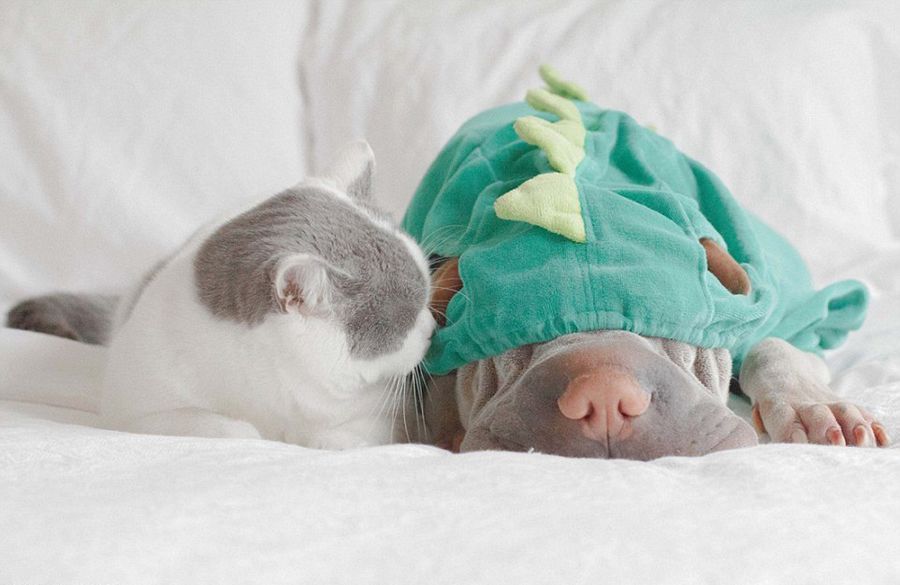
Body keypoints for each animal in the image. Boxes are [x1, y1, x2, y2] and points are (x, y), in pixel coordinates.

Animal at [6, 141, 436, 449]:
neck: (274, 391)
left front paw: (308, 436)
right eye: (406, 316)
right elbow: (227, 429)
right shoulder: (135, 410)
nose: (433, 327)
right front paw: (256, 432)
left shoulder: (392, 416)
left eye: (427, 297)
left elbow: (342, 436)